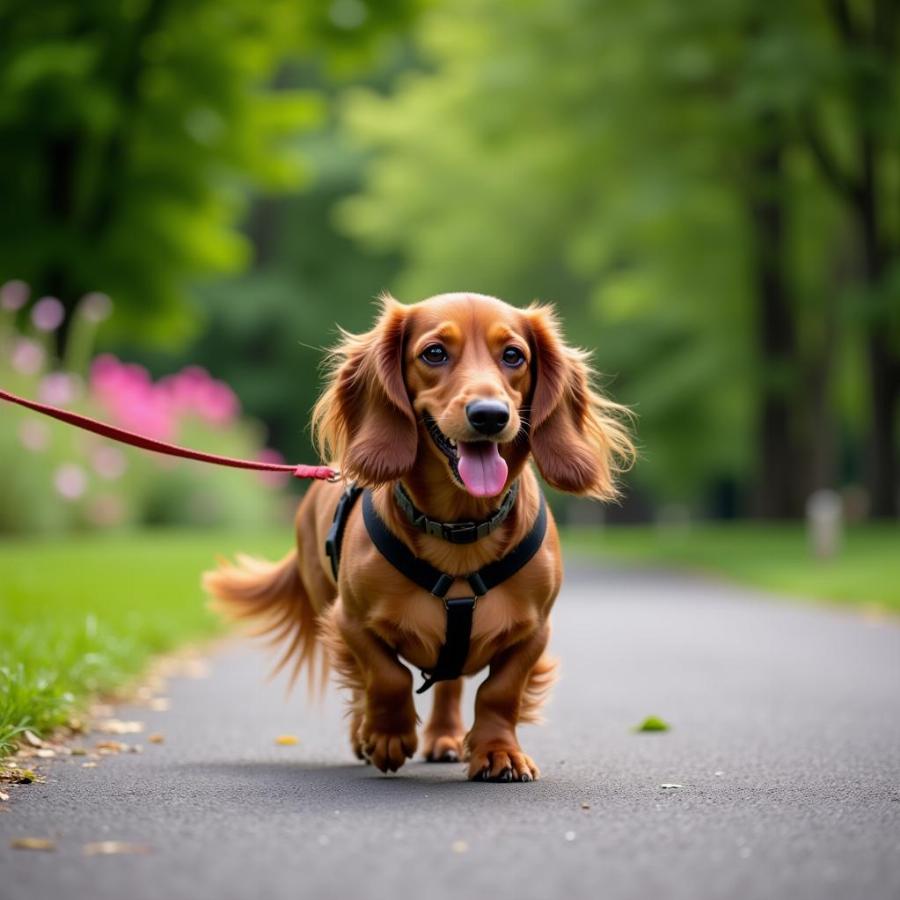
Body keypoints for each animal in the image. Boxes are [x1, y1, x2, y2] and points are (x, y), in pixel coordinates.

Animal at [202, 290, 632, 780]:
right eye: (434, 353)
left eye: (513, 356)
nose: (490, 416)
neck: (460, 531)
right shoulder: (349, 621)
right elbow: (387, 676)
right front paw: (388, 737)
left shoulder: (534, 631)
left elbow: (500, 692)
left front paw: (498, 751)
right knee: (364, 689)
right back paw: (365, 736)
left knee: (450, 685)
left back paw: (444, 737)